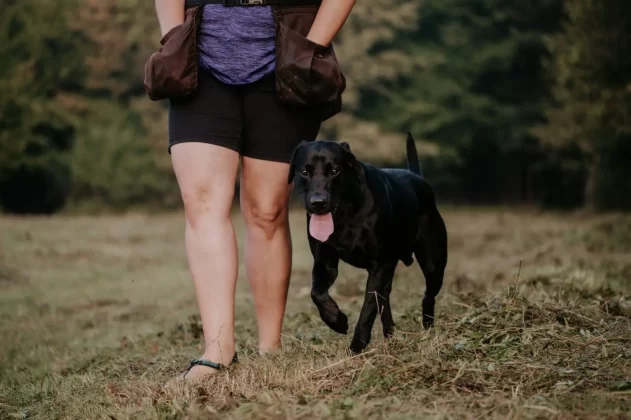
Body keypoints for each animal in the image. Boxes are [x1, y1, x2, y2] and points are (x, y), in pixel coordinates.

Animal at [288, 132, 446, 354]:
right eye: (304, 172)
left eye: (335, 171)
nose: (318, 203)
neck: (344, 214)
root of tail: (418, 177)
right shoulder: (324, 263)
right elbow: (317, 293)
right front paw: (337, 321)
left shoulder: (379, 265)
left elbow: (367, 309)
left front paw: (356, 348)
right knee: (386, 299)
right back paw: (391, 337)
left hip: (433, 263)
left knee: (427, 296)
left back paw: (428, 330)